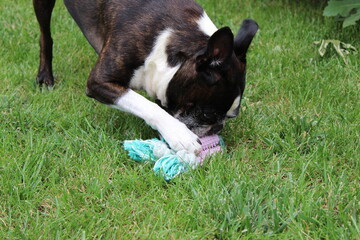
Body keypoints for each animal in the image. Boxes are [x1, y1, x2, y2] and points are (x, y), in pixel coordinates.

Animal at [33, 0, 258, 154]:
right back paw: (45, 76)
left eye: (230, 117)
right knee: (45, 35)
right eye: (207, 115)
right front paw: (178, 134)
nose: (217, 129)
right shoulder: (99, 81)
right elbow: (147, 105)